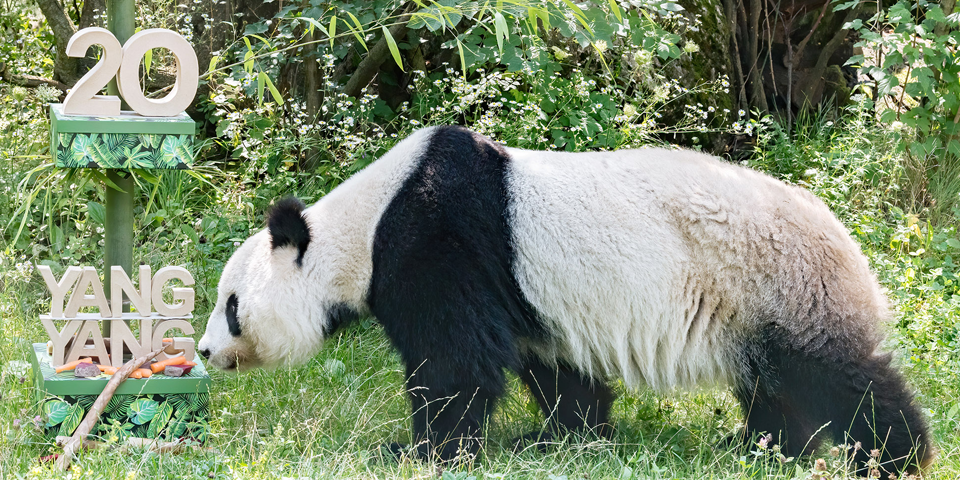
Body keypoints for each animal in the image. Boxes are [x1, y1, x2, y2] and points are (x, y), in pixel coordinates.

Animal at [198, 125, 933, 474]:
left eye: (232, 304)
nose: (204, 352)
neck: (360, 226)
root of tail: (846, 240)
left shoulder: (436, 240)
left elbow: (455, 363)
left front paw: (418, 451)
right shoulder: (522, 293)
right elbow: (553, 367)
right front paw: (564, 436)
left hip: (776, 278)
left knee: (836, 373)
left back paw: (896, 457)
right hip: (749, 303)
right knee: (773, 381)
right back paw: (760, 447)